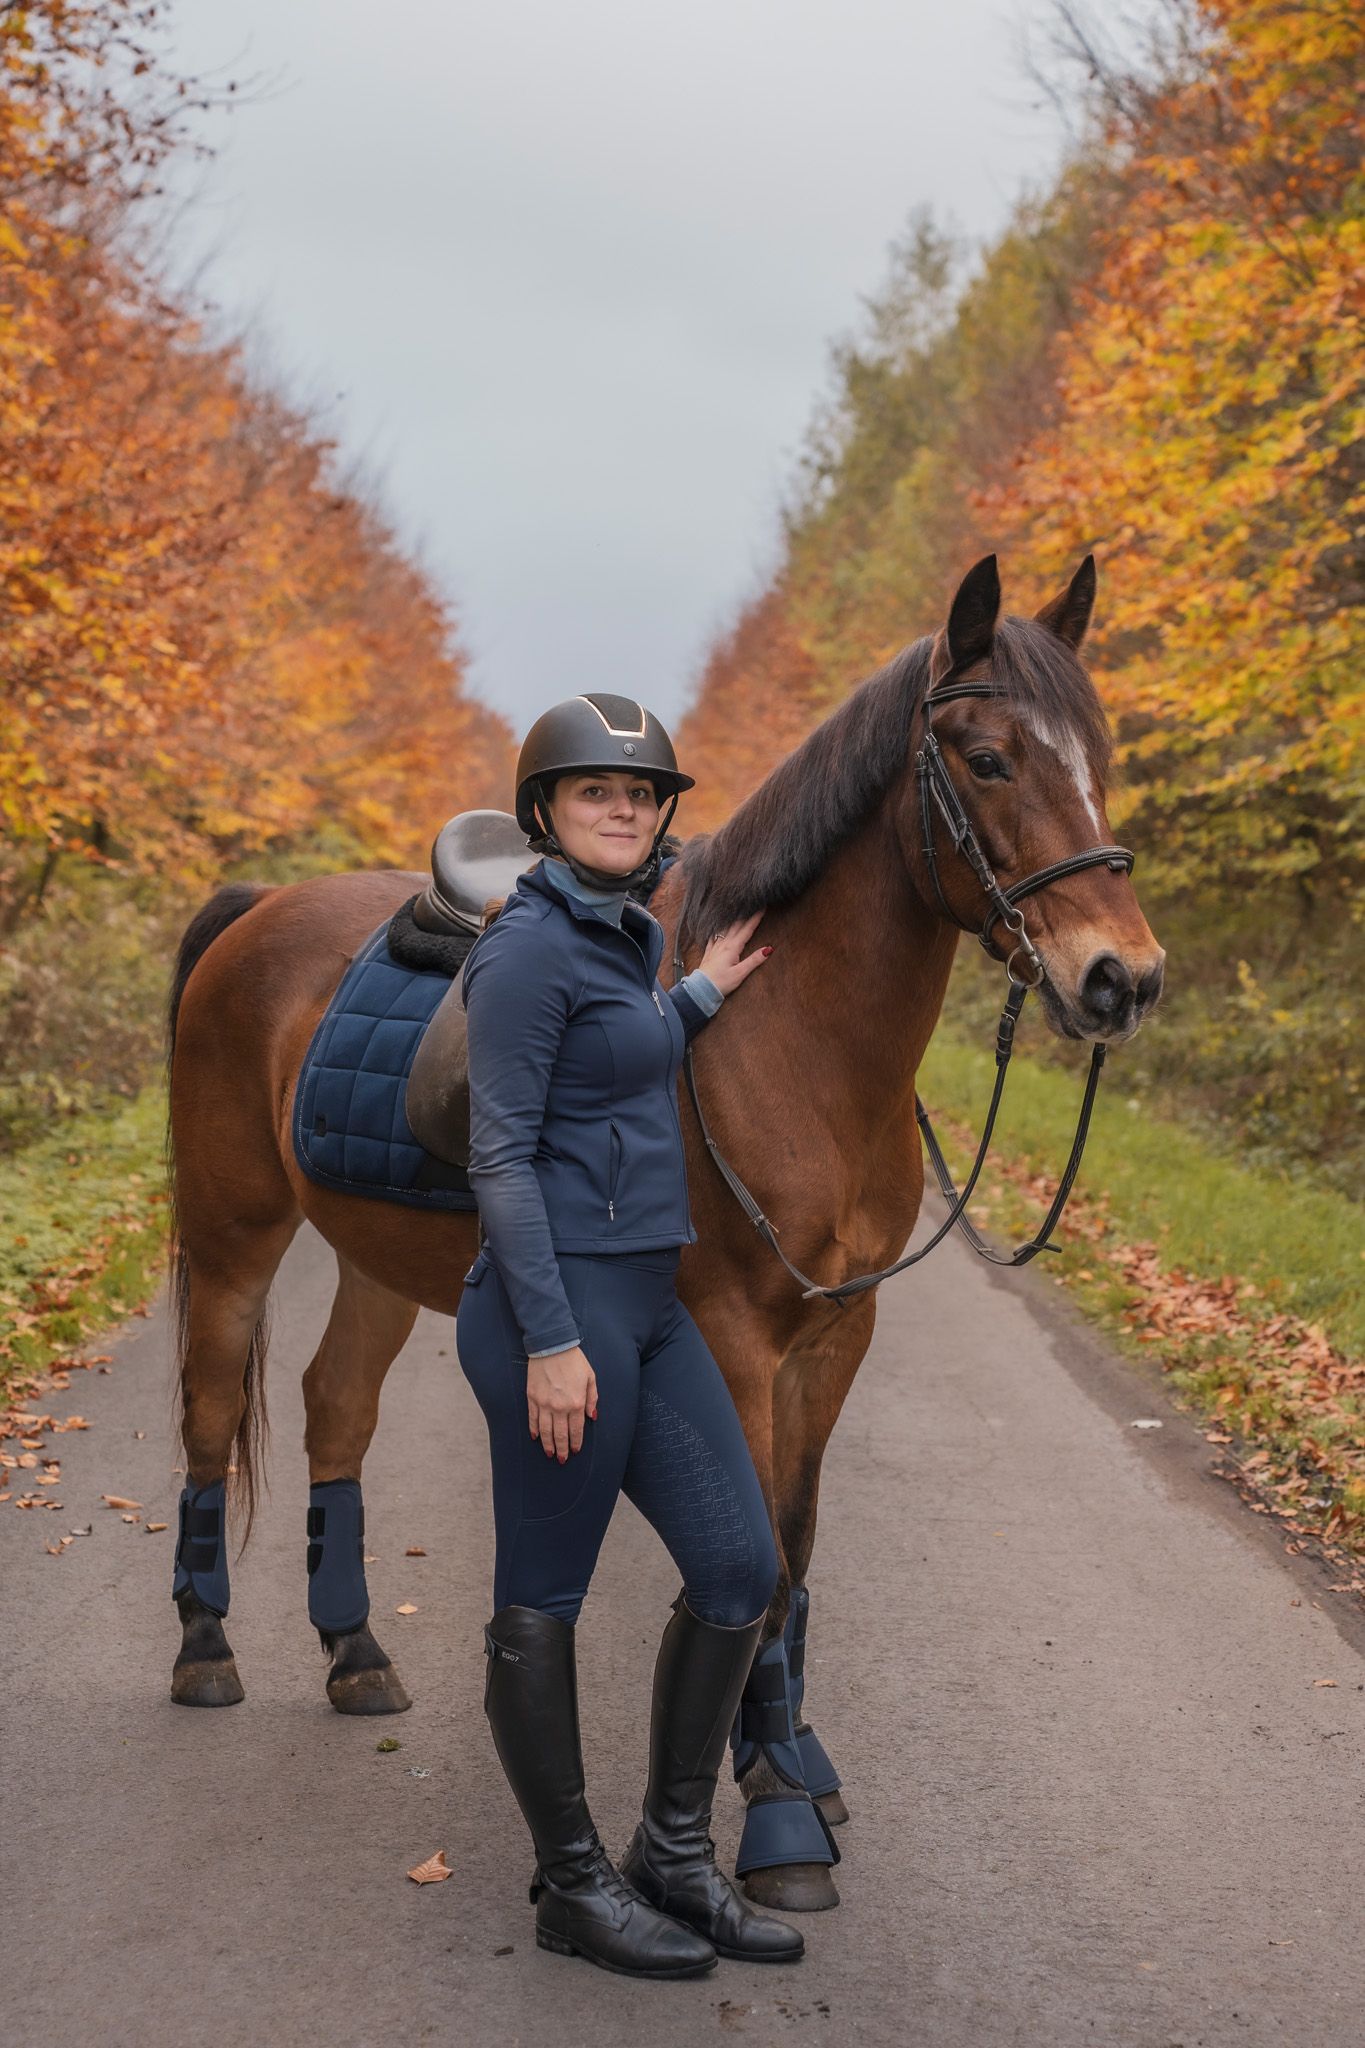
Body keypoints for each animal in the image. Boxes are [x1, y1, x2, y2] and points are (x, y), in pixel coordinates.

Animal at [164, 553, 1164, 1912]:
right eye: (990, 756)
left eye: (1096, 754)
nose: (1124, 977)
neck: (784, 1042)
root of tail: (261, 910)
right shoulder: (735, 1336)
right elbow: (759, 1562)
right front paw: (780, 1816)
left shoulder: (833, 1336)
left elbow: (795, 1548)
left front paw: (793, 1759)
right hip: (236, 1235)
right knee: (213, 1410)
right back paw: (205, 1644)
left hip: (376, 1256)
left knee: (335, 1407)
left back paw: (355, 1647)